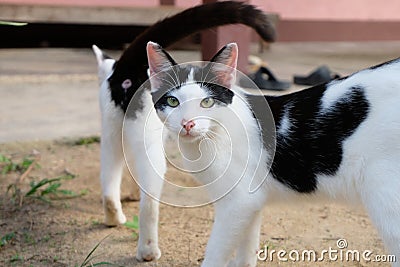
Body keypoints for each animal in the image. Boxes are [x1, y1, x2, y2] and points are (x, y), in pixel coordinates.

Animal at [93, 0, 276, 264]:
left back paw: (113, 219)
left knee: (108, 184)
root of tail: (128, 72)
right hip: (149, 145)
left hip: (111, 137)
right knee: (149, 202)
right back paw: (148, 250)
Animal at [146, 40, 400, 266]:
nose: (187, 123)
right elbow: (246, 251)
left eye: (207, 102)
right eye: (172, 101)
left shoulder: (238, 203)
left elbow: (216, 254)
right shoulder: (251, 203)